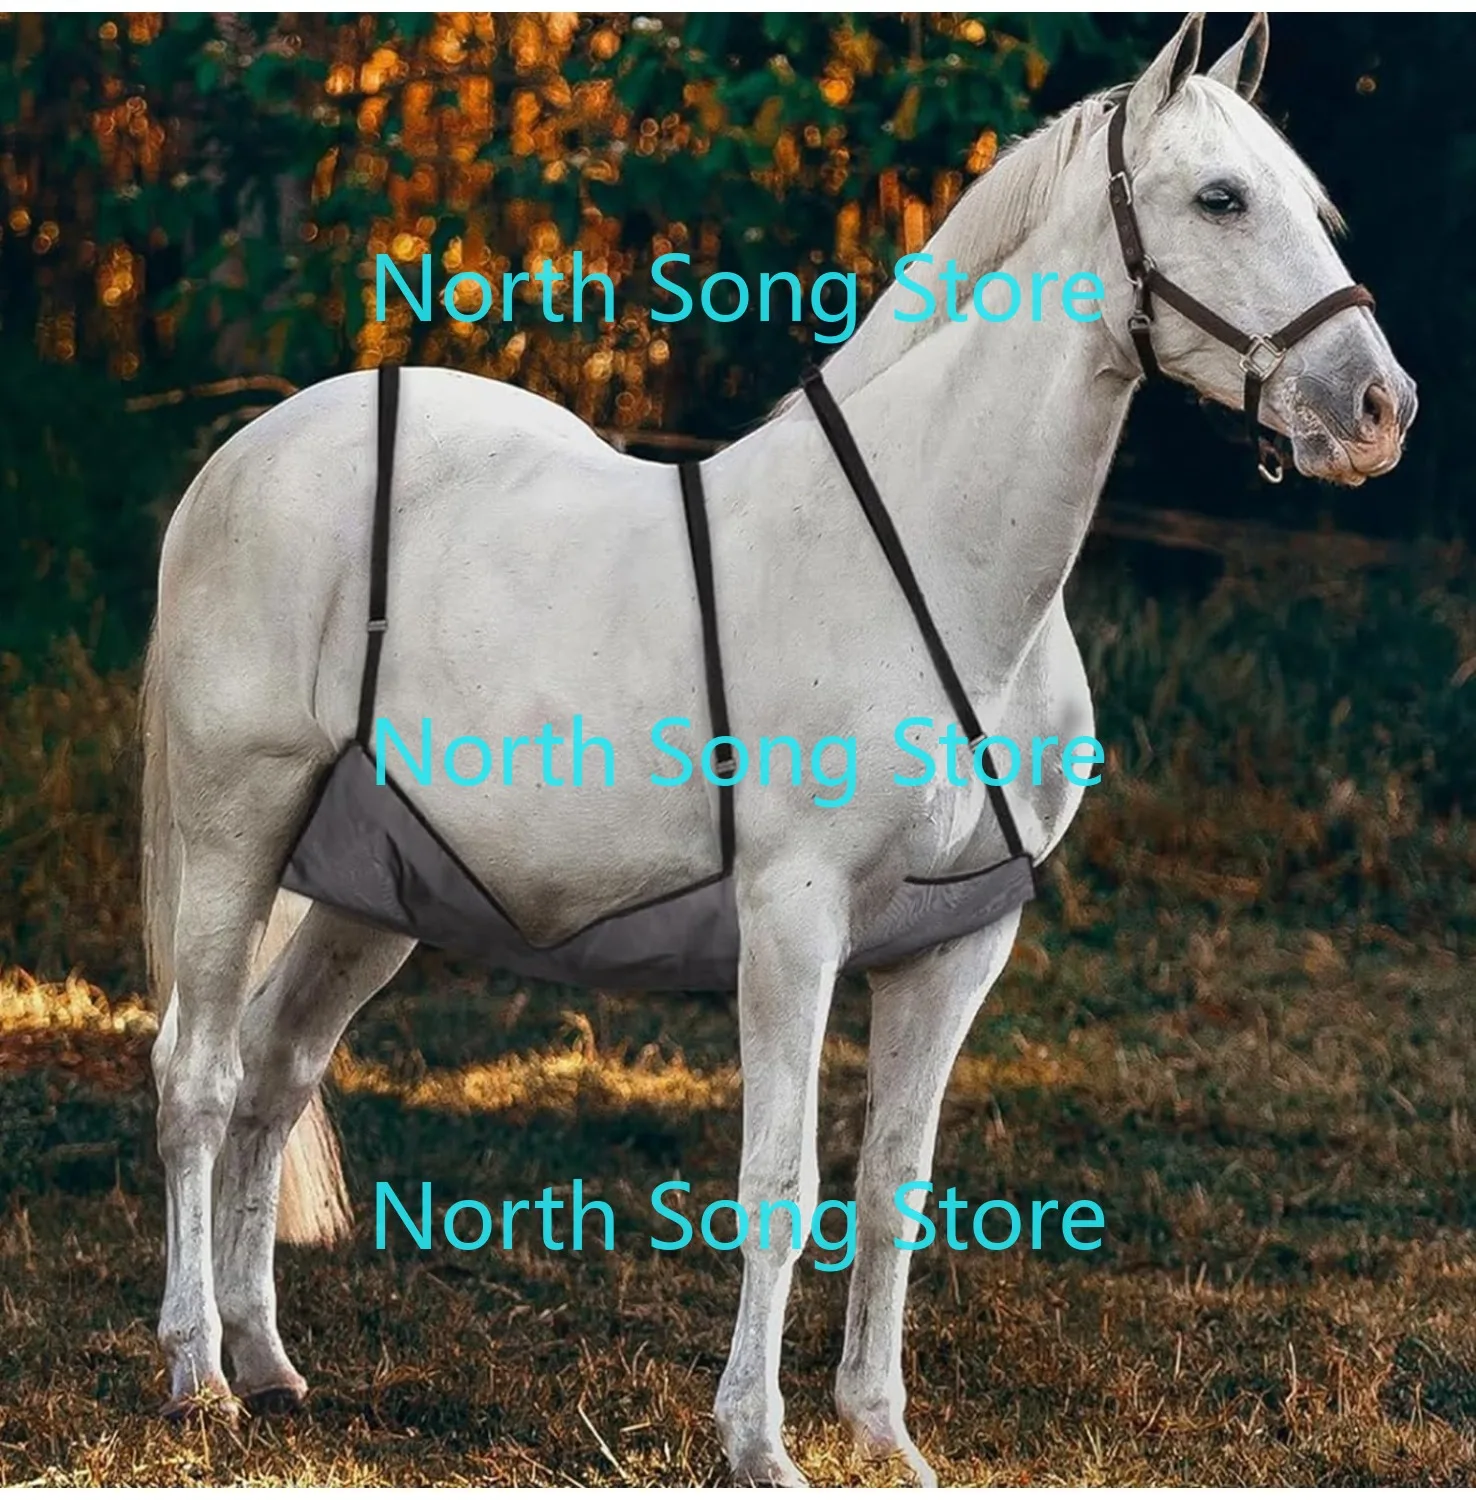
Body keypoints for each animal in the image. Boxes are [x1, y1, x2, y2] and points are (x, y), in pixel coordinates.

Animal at [140, 13, 1414, 1485]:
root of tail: (243, 455)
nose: (1380, 408)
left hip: (369, 892)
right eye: (1220, 199)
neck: (940, 577)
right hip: (233, 831)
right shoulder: (793, 920)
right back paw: (198, 1374)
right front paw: (759, 1441)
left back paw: (269, 1362)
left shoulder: (957, 946)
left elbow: (894, 1184)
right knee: (198, 1074)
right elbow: (781, 1181)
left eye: (1311, 205)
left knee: (275, 1076)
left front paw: (884, 1435)